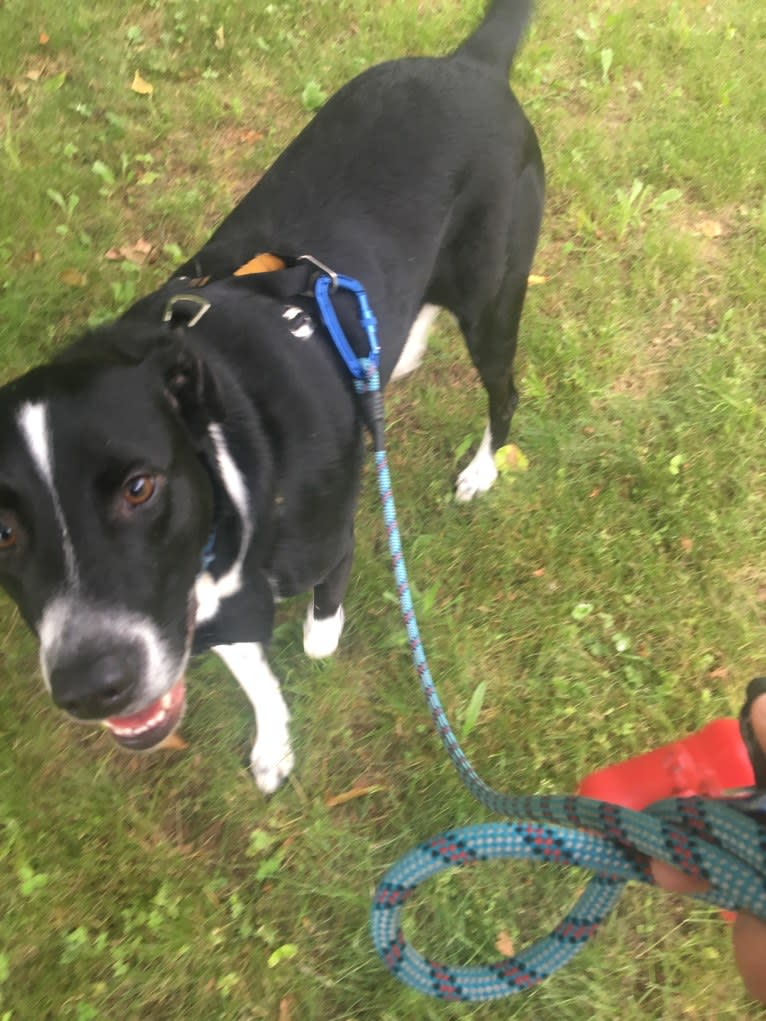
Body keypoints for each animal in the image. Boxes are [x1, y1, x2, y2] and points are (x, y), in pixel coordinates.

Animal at [0, 0, 547, 792]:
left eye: (139, 487)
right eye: (3, 531)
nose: (91, 686)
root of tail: (470, 63)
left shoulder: (326, 549)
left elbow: (317, 636)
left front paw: (314, 644)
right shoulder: (198, 613)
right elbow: (254, 672)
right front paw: (273, 743)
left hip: (493, 307)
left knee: (504, 392)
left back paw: (479, 468)